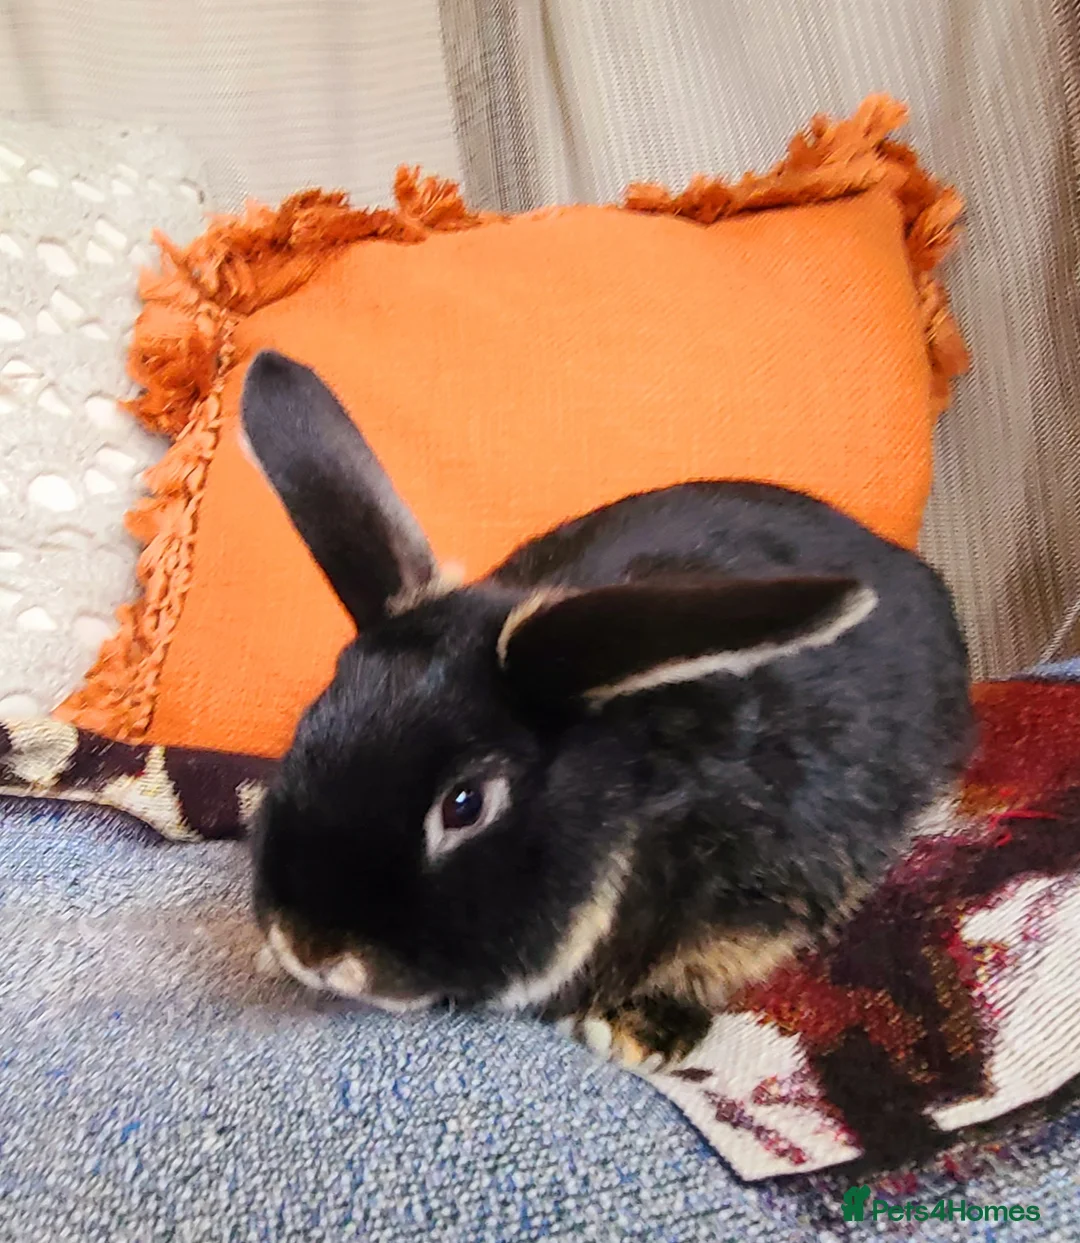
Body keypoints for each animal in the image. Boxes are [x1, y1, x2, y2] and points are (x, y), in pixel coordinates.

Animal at [242, 349, 974, 1068]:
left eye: (465, 805)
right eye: (306, 729)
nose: (312, 948)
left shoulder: (775, 883)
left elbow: (724, 955)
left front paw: (632, 1032)